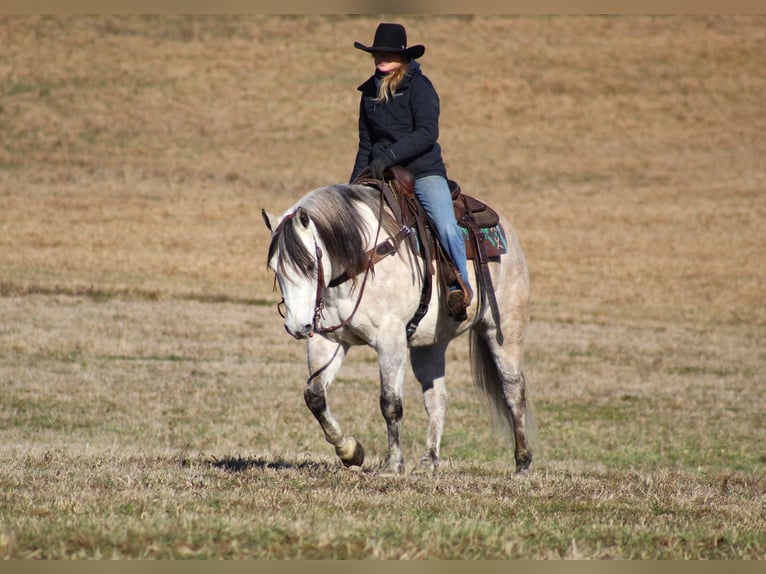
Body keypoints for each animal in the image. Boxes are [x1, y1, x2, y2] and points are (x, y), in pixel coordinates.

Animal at [264, 183, 536, 476]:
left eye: (309, 264)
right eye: (274, 268)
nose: (296, 326)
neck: (361, 260)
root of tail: (506, 230)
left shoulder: (390, 340)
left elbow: (390, 404)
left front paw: (392, 464)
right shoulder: (327, 340)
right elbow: (314, 396)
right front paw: (350, 451)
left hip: (504, 330)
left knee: (513, 391)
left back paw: (522, 462)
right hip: (431, 344)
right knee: (437, 399)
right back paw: (429, 461)